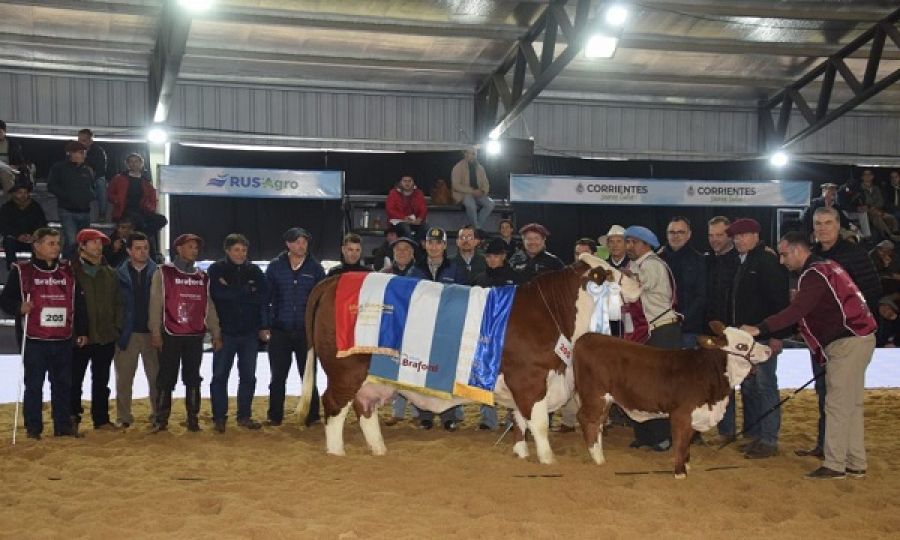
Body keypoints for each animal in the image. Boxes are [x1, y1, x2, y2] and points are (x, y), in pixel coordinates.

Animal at [295, 254, 642, 464]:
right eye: (607, 273)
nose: (637, 280)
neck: (552, 314)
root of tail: (334, 280)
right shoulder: (529, 378)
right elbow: (540, 423)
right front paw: (547, 459)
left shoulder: (521, 385)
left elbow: (520, 421)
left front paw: (520, 453)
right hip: (345, 370)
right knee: (334, 405)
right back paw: (336, 452)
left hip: (371, 378)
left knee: (365, 409)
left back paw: (379, 449)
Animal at [572, 321, 771, 478]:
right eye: (741, 346)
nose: (768, 350)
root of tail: (586, 338)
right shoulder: (681, 415)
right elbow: (681, 444)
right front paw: (680, 473)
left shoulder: (694, 416)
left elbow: (688, 443)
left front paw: (687, 466)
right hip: (595, 396)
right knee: (587, 420)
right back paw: (598, 459)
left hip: (604, 400)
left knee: (597, 423)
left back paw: (600, 455)